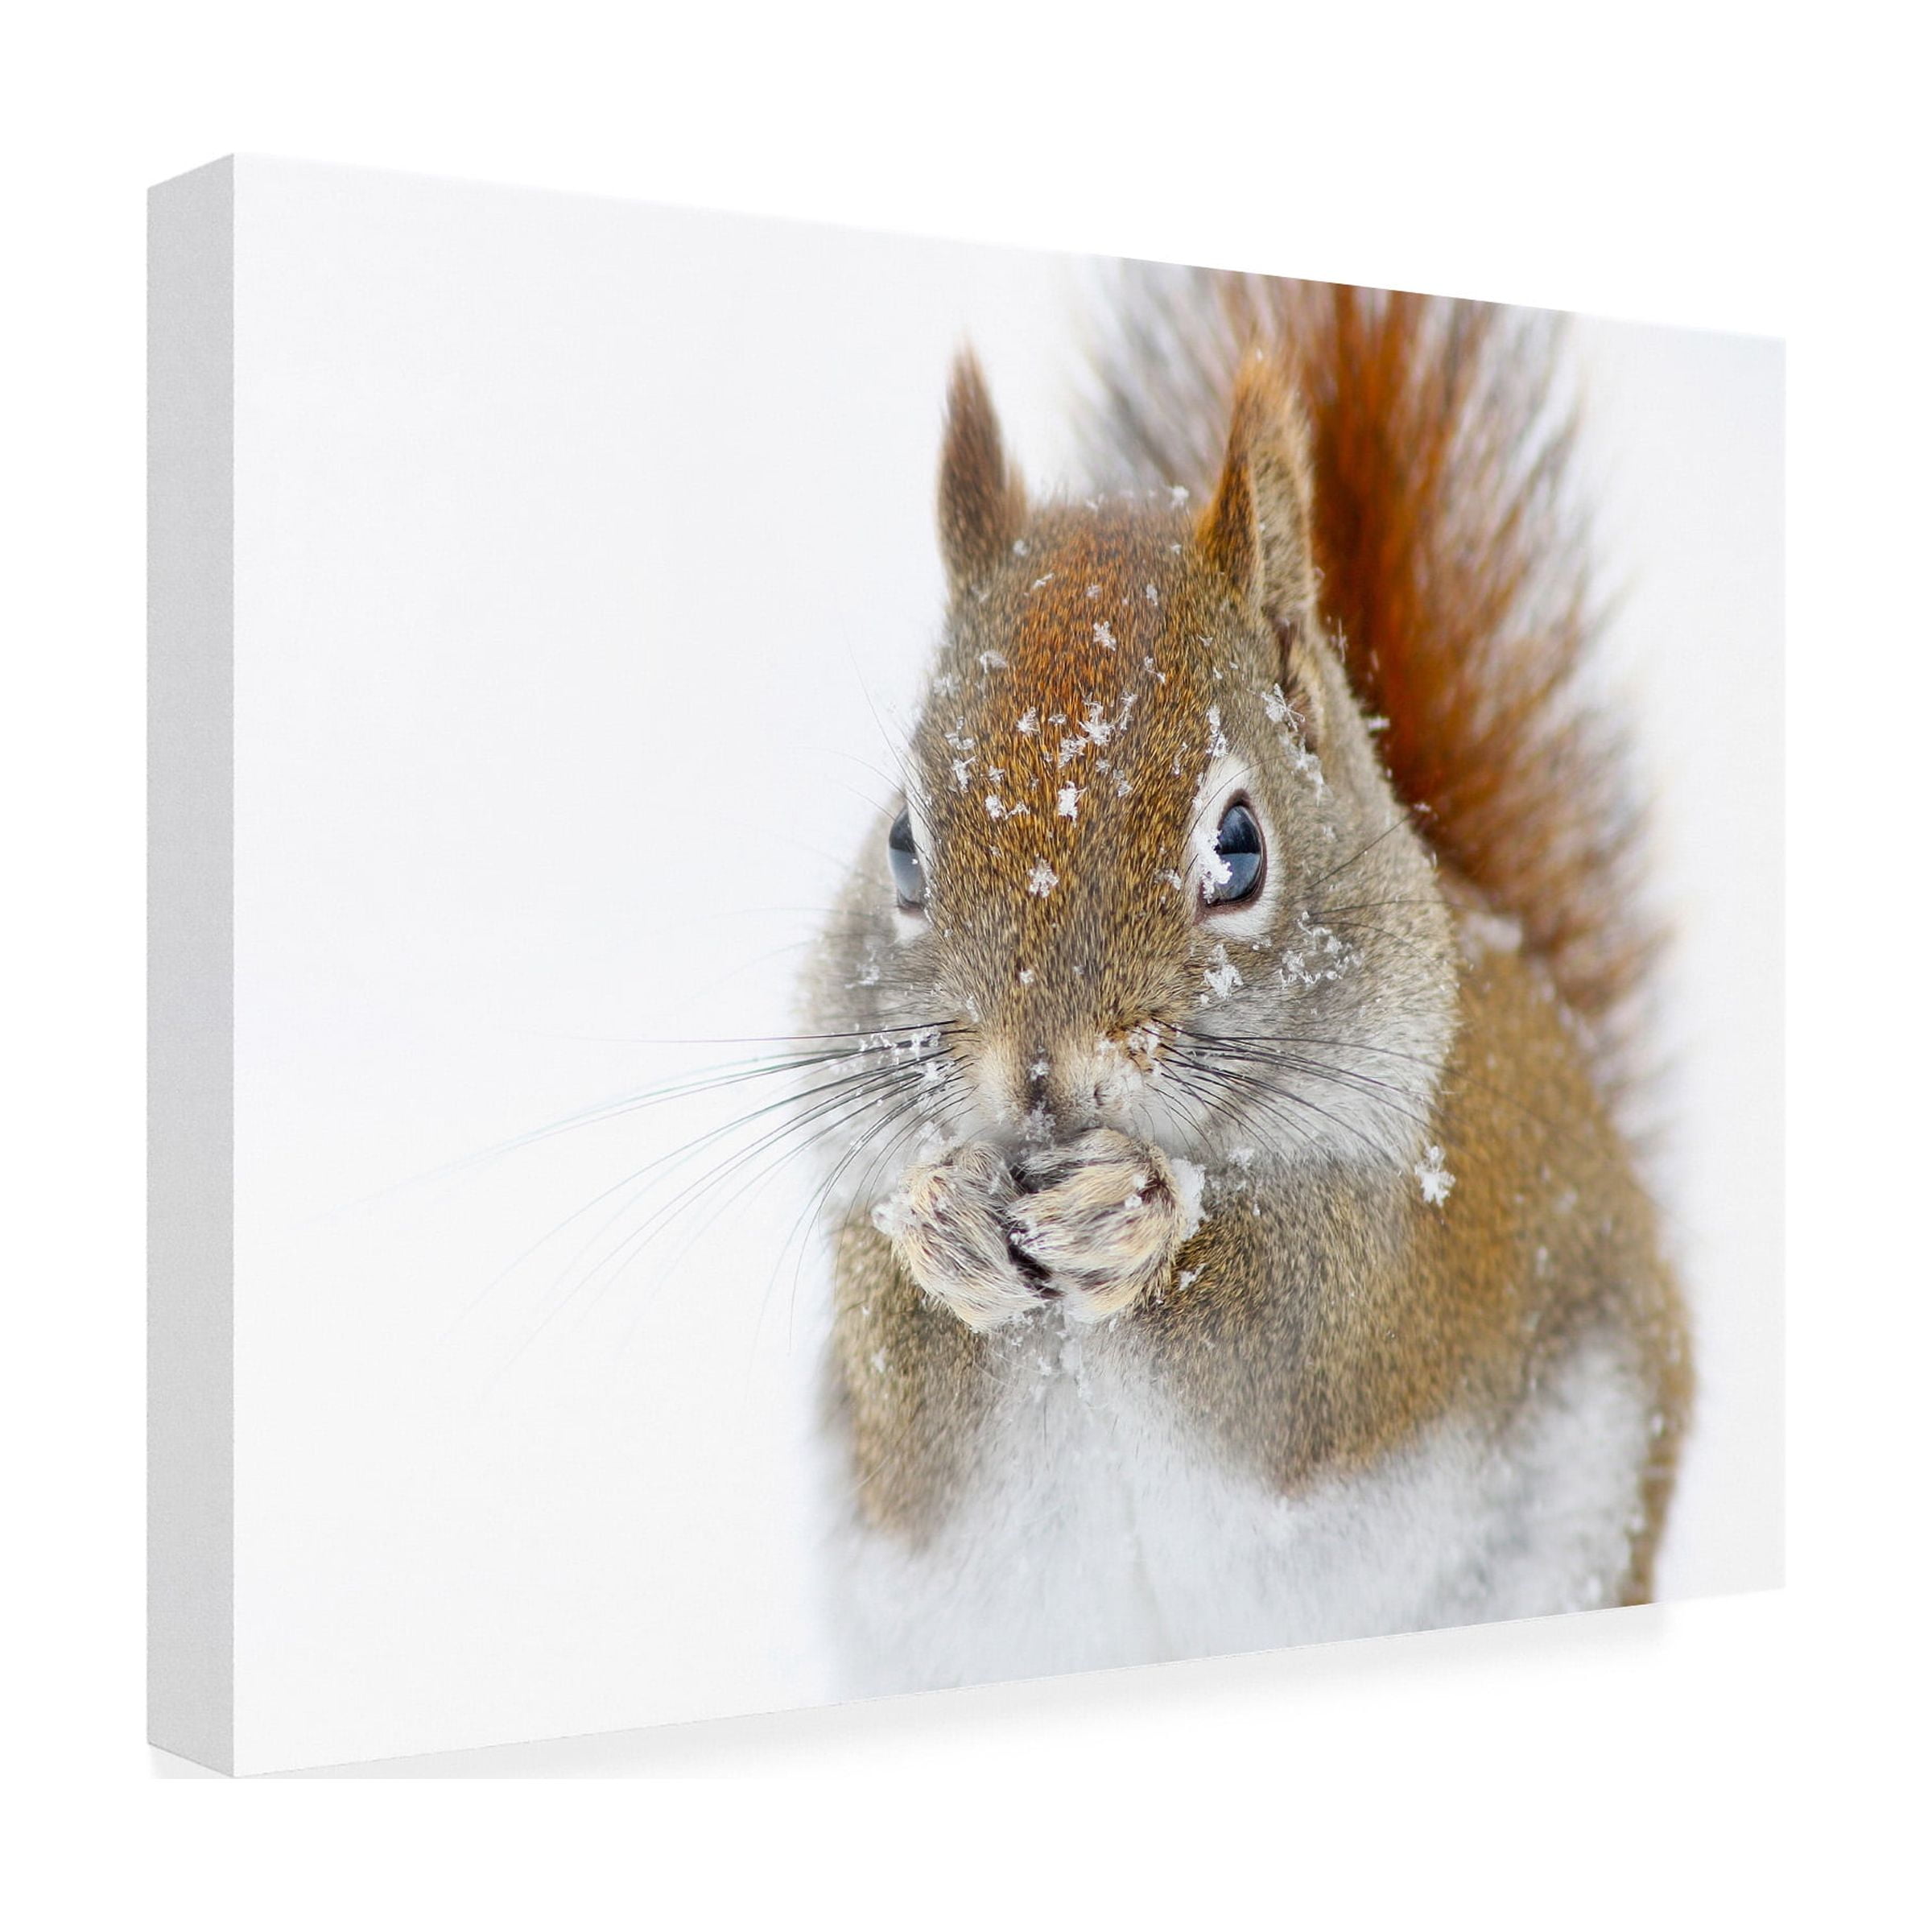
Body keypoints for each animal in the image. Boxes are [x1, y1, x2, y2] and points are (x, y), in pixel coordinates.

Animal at [801, 271, 1692, 1694]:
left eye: (1238, 847)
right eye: (899, 846)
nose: (1038, 1074)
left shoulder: (1410, 1268)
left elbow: (1291, 1349)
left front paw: (1139, 1211)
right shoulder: (893, 1432)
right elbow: (908, 1394)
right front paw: (938, 1221)